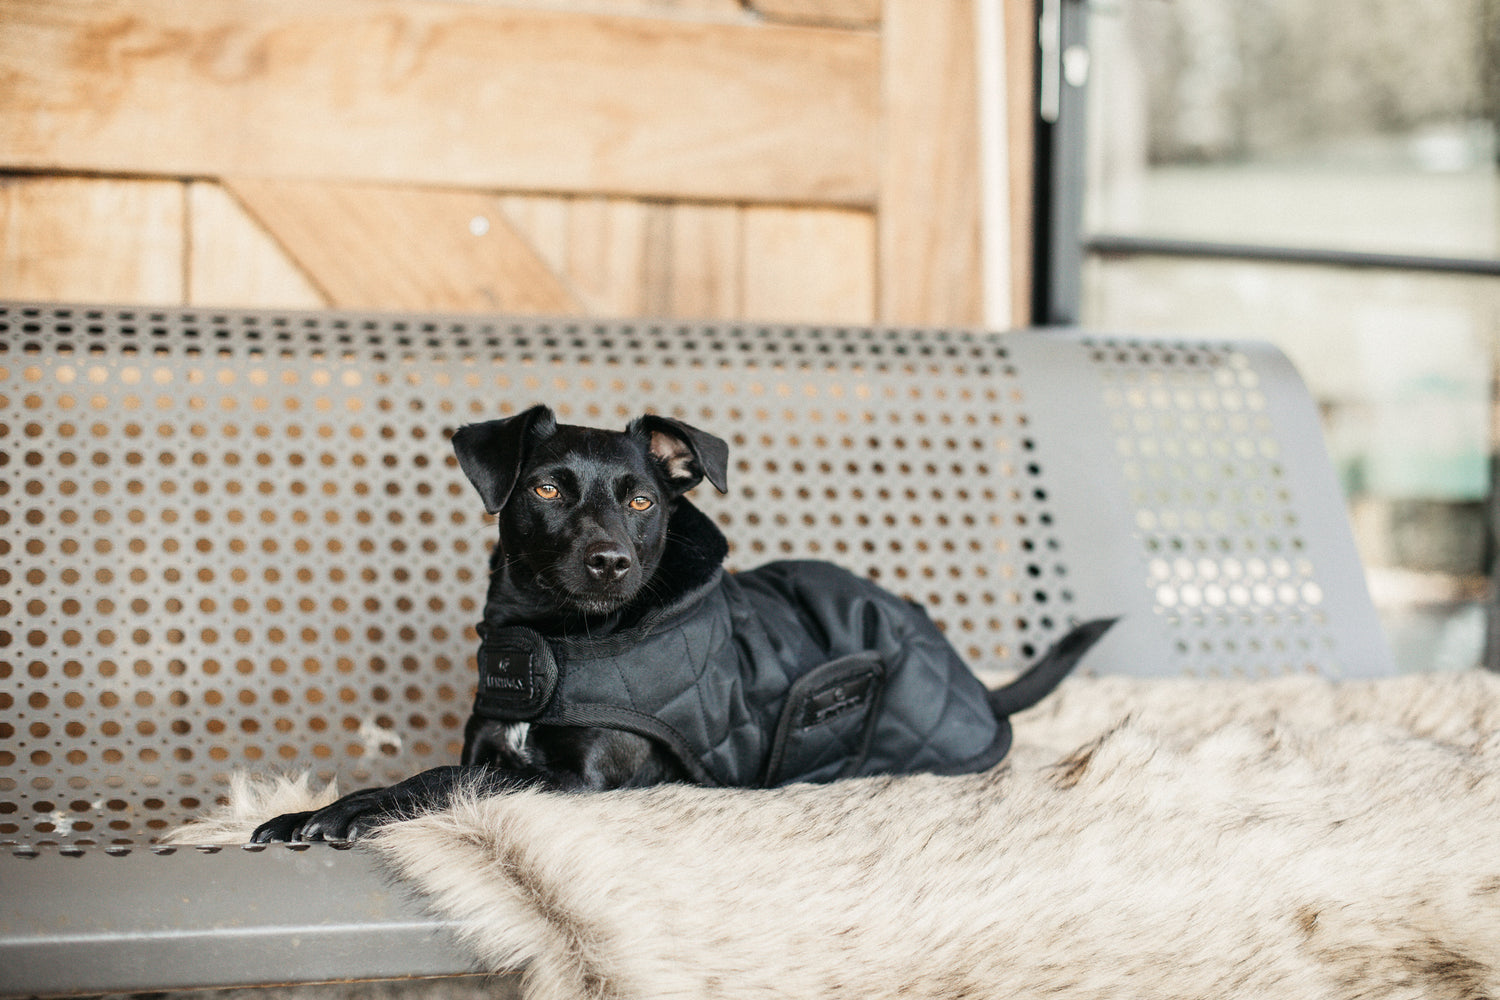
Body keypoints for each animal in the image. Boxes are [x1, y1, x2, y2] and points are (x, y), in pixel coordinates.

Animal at [252, 407, 1110, 845]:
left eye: (642, 500)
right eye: (548, 489)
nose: (609, 563)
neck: (558, 638)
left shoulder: (580, 782)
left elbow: (441, 778)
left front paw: (343, 810)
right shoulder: (496, 747)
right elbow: (451, 767)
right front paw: (308, 807)